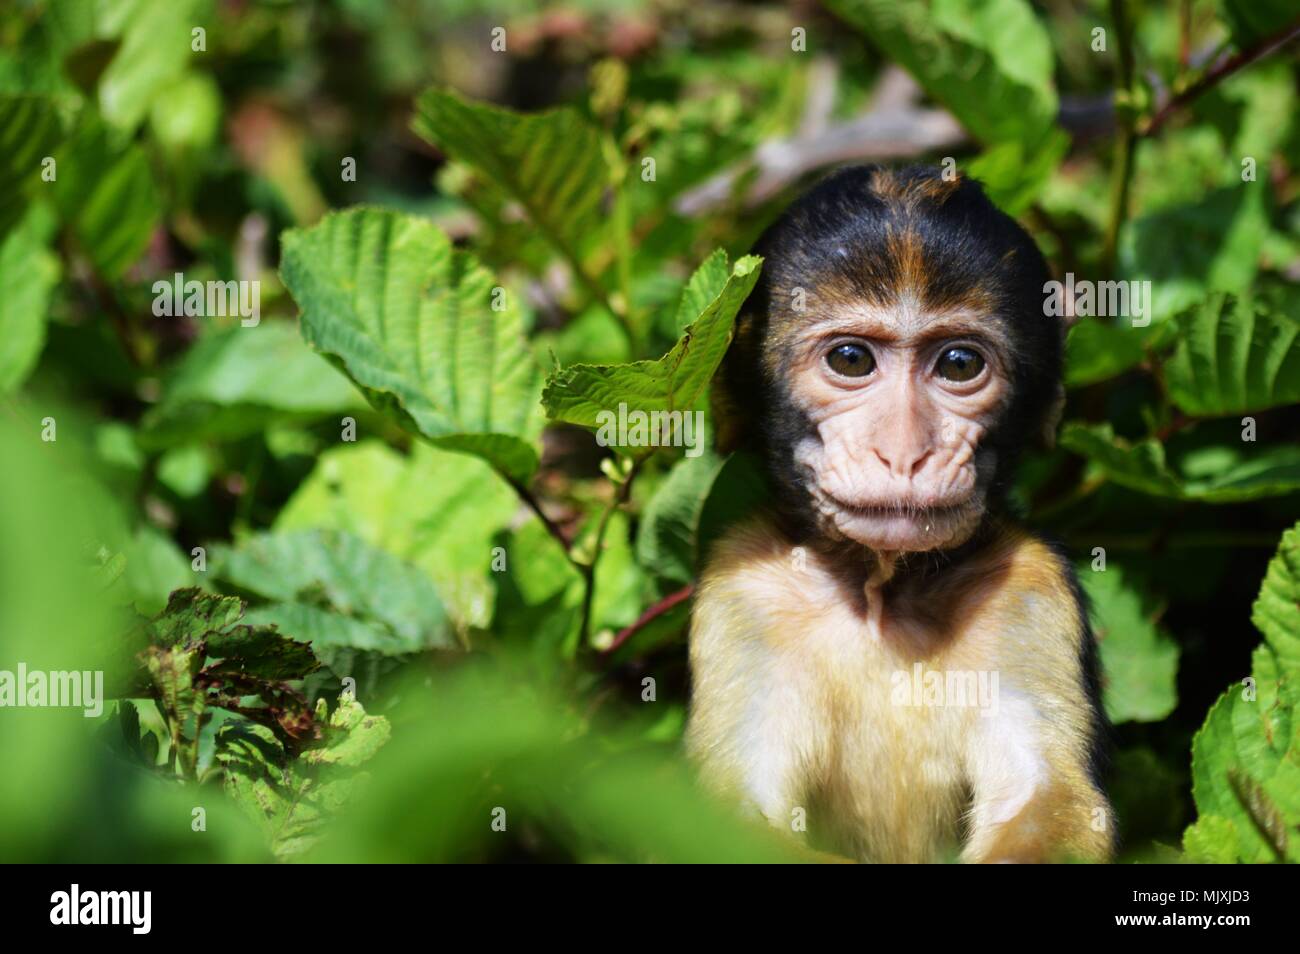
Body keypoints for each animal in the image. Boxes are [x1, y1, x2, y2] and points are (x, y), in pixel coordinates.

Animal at [686, 165, 1112, 864]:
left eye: (960, 364)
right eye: (850, 359)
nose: (905, 452)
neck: (881, 591)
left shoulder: (1030, 584)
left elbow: (1048, 800)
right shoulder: (742, 587)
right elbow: (725, 816)